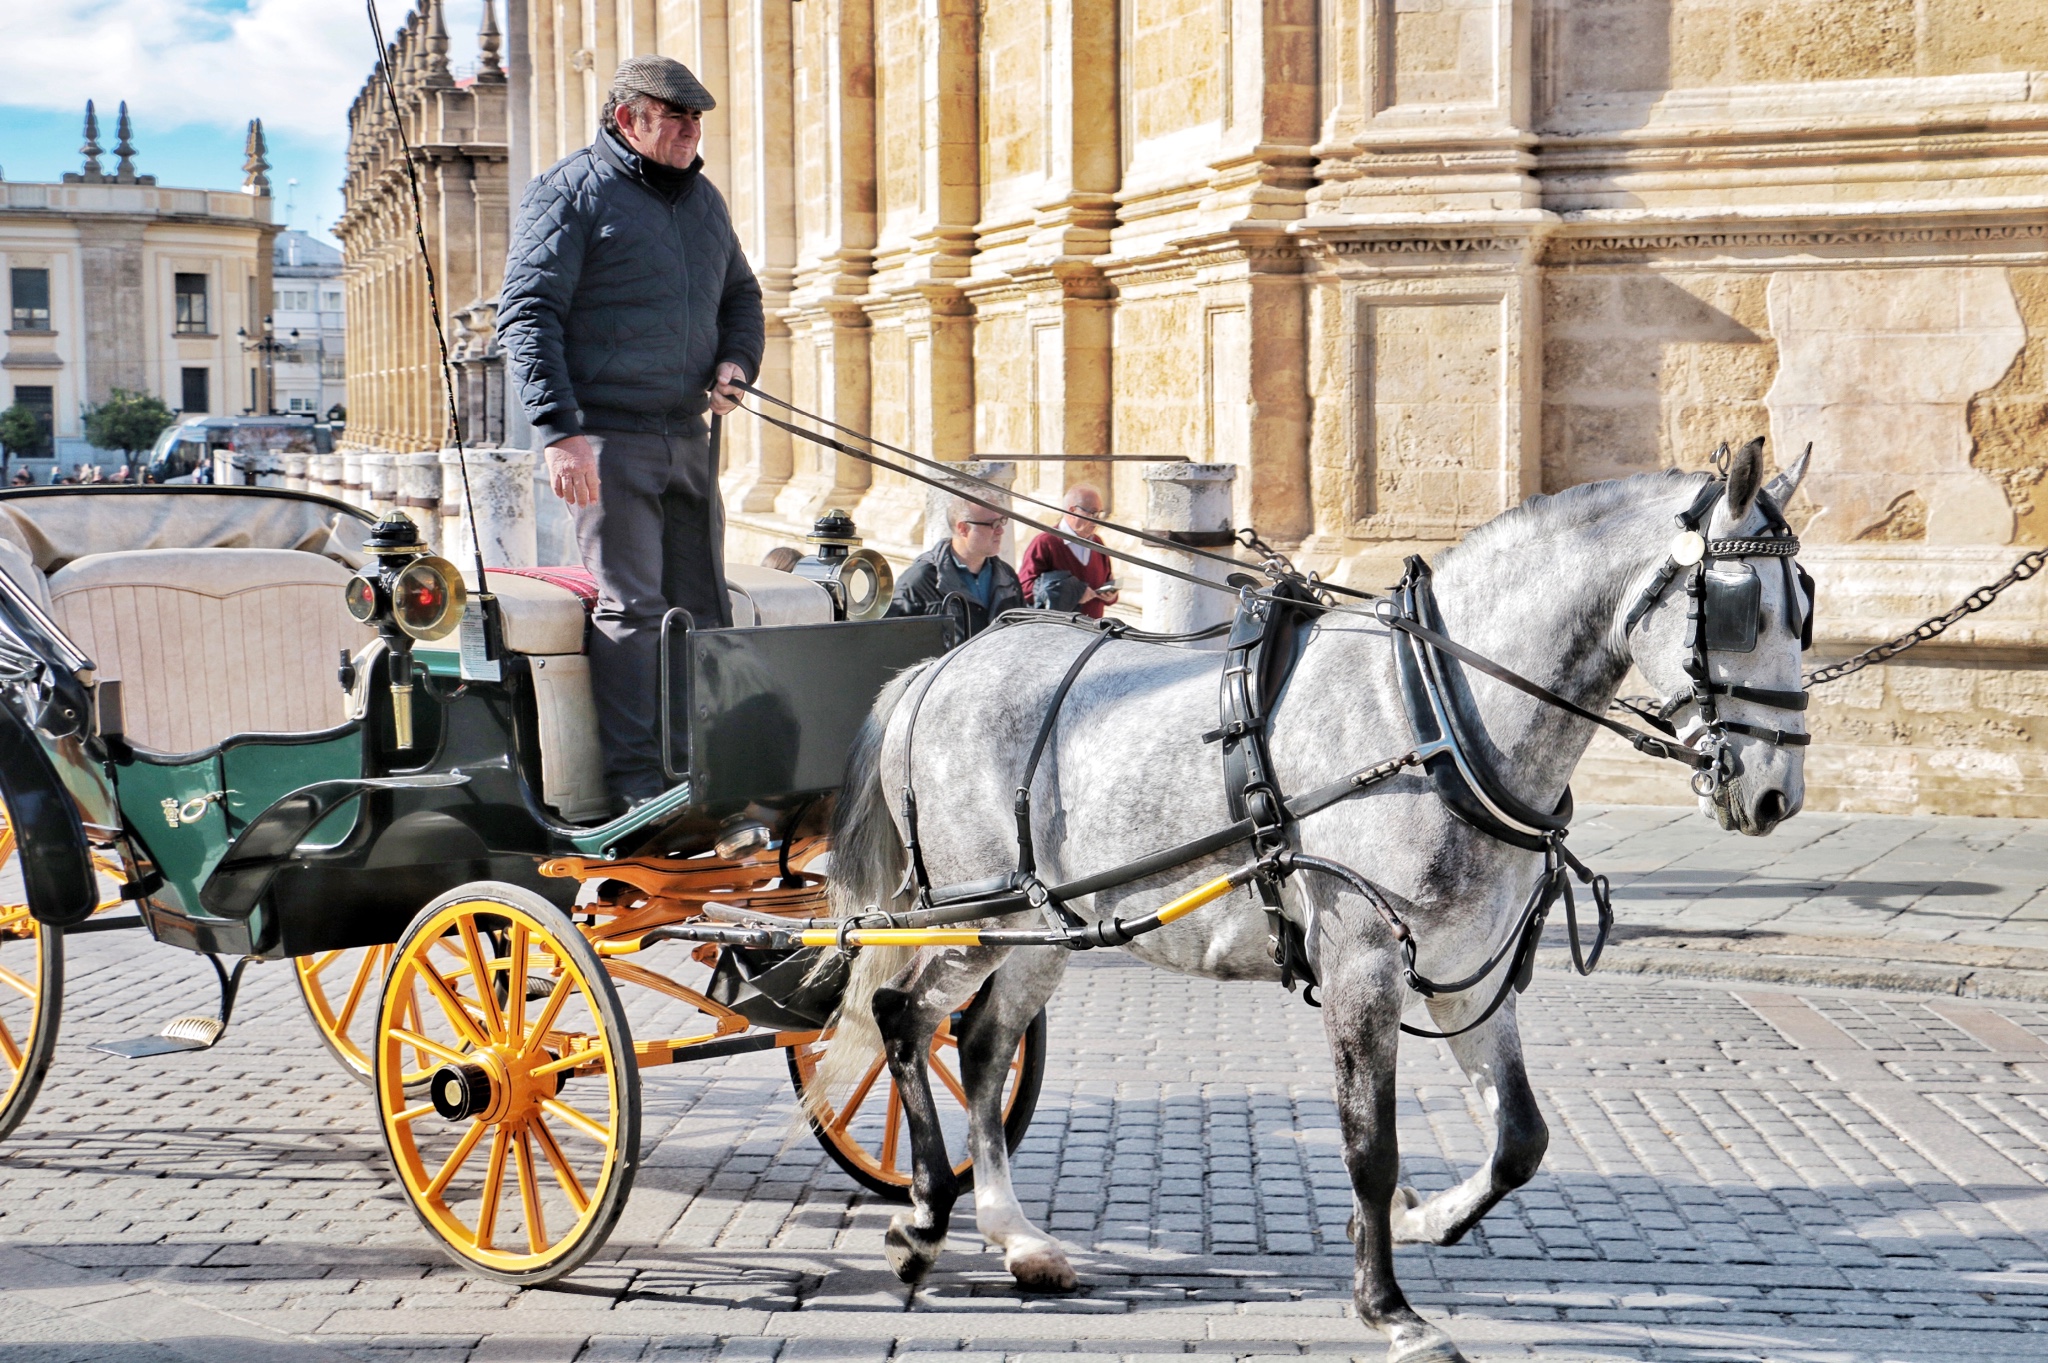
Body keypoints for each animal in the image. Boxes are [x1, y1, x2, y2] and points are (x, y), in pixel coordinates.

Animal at [815, 446, 1810, 1358]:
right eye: (1739, 605)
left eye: (1807, 601)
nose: (1776, 794)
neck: (1433, 713)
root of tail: (938, 668)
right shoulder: (1362, 957)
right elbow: (1370, 1144)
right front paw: (1389, 1306)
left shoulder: (1467, 969)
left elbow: (1518, 1137)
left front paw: (1423, 1220)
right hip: (972, 910)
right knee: (902, 1015)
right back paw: (926, 1216)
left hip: (1042, 924)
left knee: (982, 1048)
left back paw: (1011, 1233)